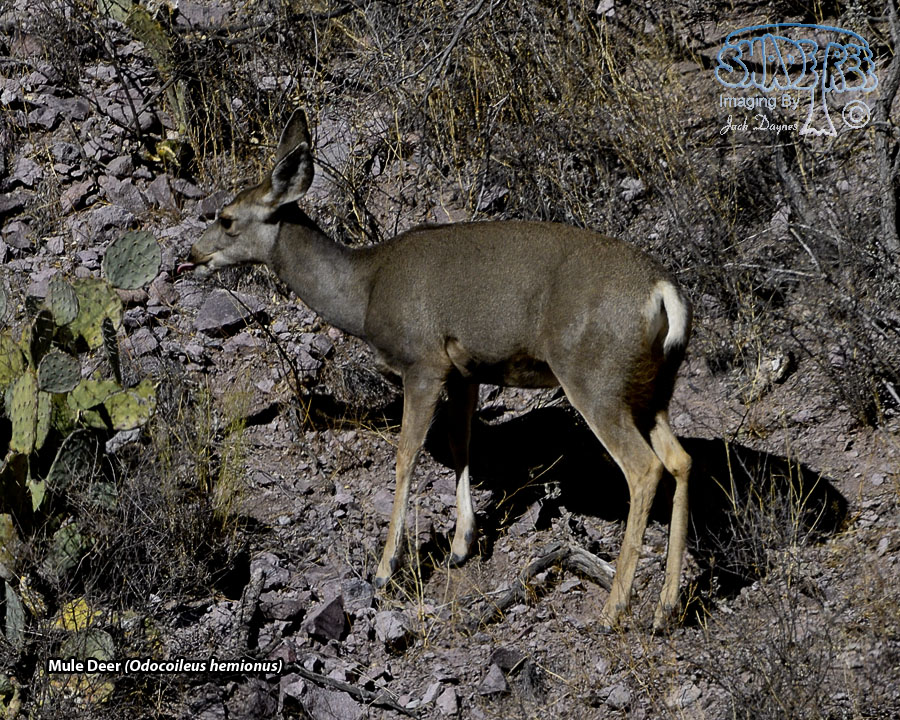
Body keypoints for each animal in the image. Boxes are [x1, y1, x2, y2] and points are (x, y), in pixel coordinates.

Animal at [183, 109, 693, 630]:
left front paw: (386, 568)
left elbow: (407, 454)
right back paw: (667, 605)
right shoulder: (465, 370)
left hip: (595, 379)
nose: (191, 256)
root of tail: (663, 293)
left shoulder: (423, 362)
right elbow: (461, 443)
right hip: (652, 390)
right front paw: (462, 544)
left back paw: (616, 607)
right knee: (681, 459)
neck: (365, 292)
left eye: (226, 218)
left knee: (644, 467)